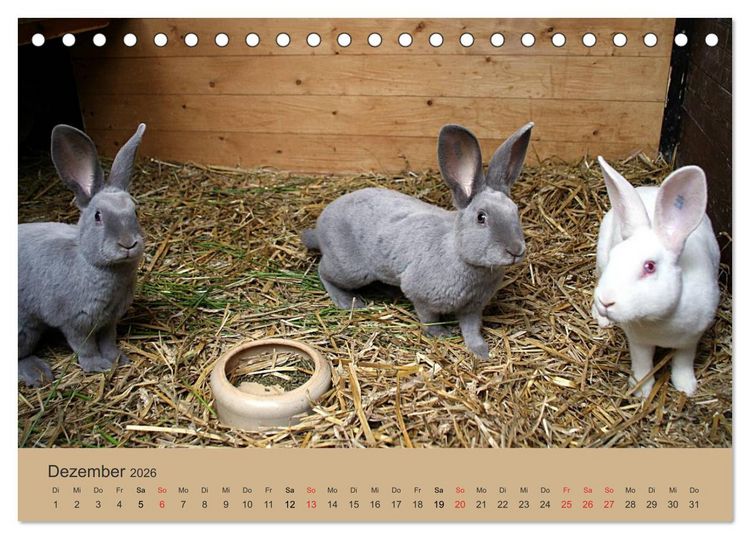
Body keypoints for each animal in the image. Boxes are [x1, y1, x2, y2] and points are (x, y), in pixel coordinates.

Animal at [18, 123, 147, 386]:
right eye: (98, 216)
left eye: (135, 212)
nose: (128, 244)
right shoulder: (74, 321)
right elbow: (84, 347)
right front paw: (98, 366)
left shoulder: (109, 320)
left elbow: (108, 341)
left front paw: (118, 359)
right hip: (24, 328)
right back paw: (37, 373)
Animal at [302, 123, 534, 358]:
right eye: (481, 217)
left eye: (515, 211)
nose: (516, 250)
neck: (458, 252)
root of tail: (320, 226)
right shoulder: (421, 297)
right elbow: (429, 319)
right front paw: (442, 335)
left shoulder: (472, 308)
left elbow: (472, 329)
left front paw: (481, 352)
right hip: (350, 270)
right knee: (323, 271)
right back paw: (347, 302)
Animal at [592, 157, 720, 397]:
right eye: (616, 255)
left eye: (649, 266)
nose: (606, 301)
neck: (658, 321)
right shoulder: (638, 342)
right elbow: (642, 364)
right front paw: (641, 390)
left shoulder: (691, 340)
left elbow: (683, 362)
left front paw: (686, 388)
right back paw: (602, 319)